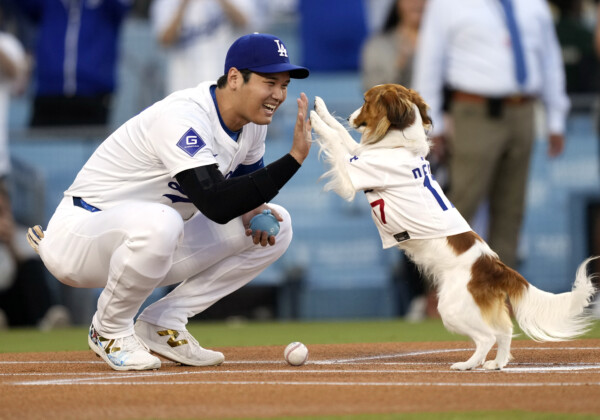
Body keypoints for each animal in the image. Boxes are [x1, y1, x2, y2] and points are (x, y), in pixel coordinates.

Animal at [310, 83, 596, 370]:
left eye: (365, 100)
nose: (350, 117)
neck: (400, 144)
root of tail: (494, 266)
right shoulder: (360, 155)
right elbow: (342, 136)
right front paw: (321, 110)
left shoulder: (351, 178)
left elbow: (335, 140)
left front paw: (314, 119)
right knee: (504, 331)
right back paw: (496, 363)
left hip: (451, 309)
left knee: (486, 337)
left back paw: (468, 364)